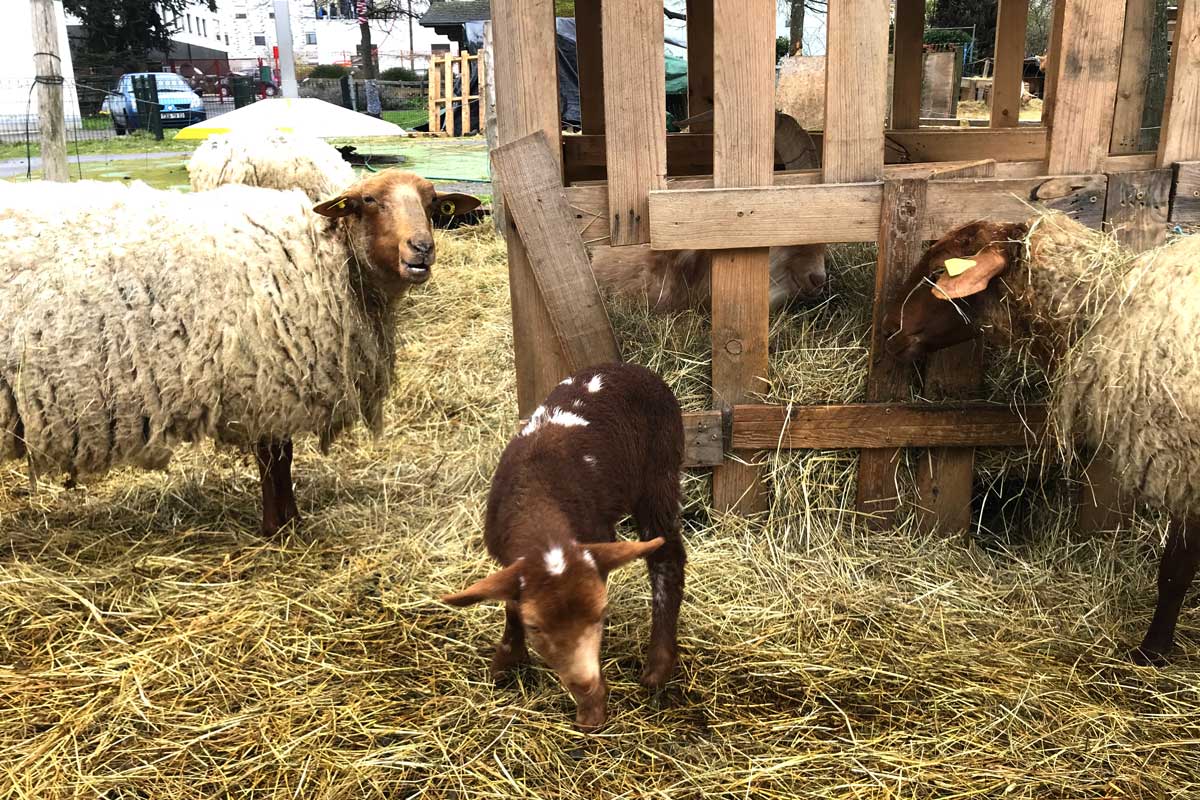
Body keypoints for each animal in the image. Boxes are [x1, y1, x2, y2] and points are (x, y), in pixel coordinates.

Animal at [0, 170, 480, 535]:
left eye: (433, 202)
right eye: (368, 200)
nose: (422, 249)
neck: (326, 257)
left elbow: (279, 461)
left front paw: (288, 521)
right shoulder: (268, 380)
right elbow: (275, 461)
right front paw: (279, 528)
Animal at [442, 362, 685, 731]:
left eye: (601, 614)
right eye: (535, 627)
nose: (584, 683)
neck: (539, 503)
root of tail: (630, 367)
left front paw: (592, 709)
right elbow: (511, 604)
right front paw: (507, 664)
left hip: (661, 469)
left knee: (666, 556)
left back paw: (658, 667)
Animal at [880, 211, 1200, 665]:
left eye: (937, 272)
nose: (888, 329)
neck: (1105, 304)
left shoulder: (1186, 472)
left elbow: (1175, 570)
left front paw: (1151, 652)